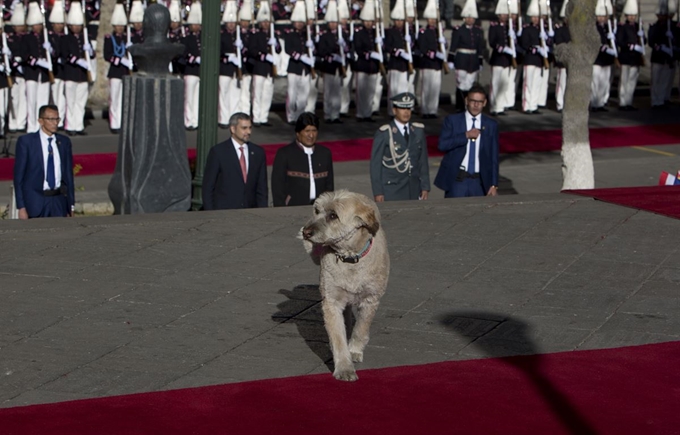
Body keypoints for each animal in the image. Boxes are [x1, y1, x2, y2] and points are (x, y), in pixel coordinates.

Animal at [302, 191, 390, 382]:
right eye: (316, 211)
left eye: (333, 216)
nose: (305, 232)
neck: (350, 258)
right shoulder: (331, 301)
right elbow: (338, 337)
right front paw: (344, 367)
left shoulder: (371, 299)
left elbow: (361, 328)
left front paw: (354, 350)